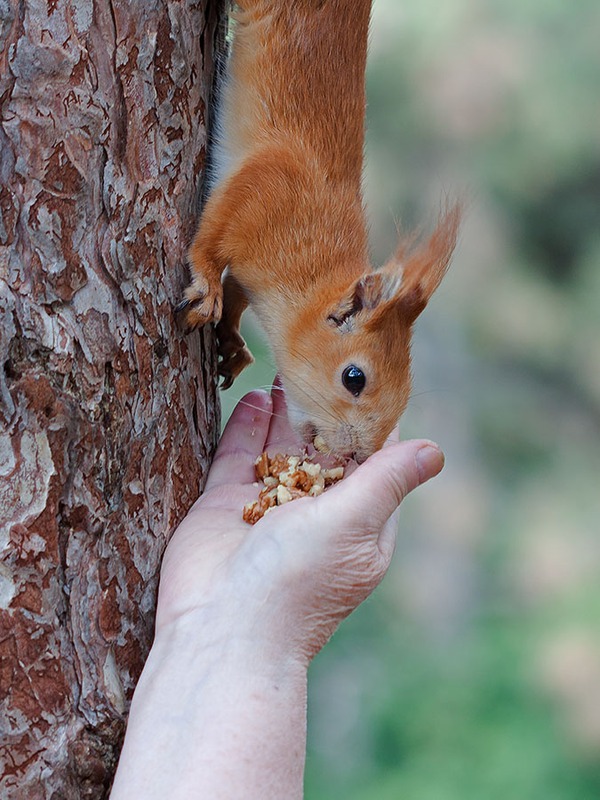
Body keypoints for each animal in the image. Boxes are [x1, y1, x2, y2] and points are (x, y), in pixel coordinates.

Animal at [179, 0, 460, 462]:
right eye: (353, 377)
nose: (357, 457)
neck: (306, 277)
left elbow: (238, 288)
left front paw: (233, 341)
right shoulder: (269, 182)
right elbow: (213, 233)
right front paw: (207, 287)